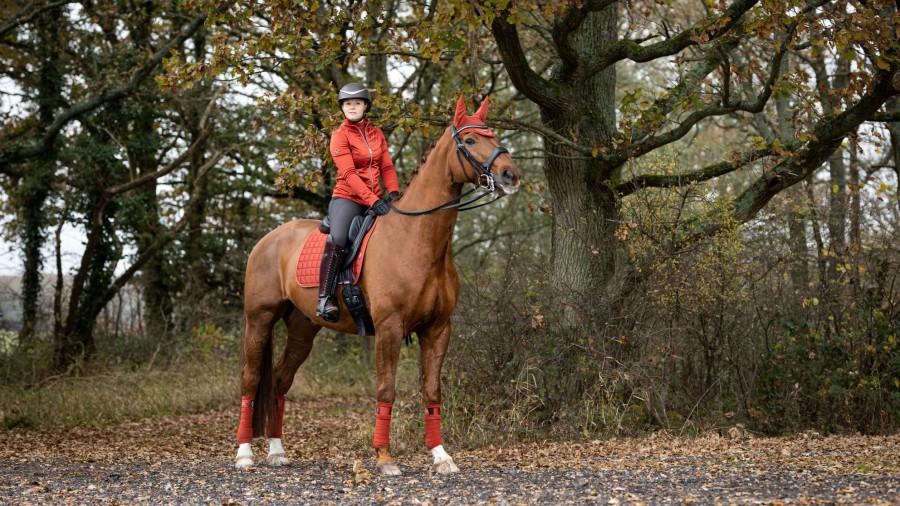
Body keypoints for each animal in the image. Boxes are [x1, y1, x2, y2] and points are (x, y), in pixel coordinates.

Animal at [236, 97, 524, 476]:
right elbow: (386, 390)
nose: (510, 176)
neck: (417, 239)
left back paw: (276, 450)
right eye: (471, 140)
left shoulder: (438, 330)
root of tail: (267, 240)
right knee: (251, 379)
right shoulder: (389, 328)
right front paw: (386, 458)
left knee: (281, 380)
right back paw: (244, 454)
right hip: (259, 320)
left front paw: (441, 456)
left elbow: (432, 392)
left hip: (303, 328)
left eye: (495, 135)